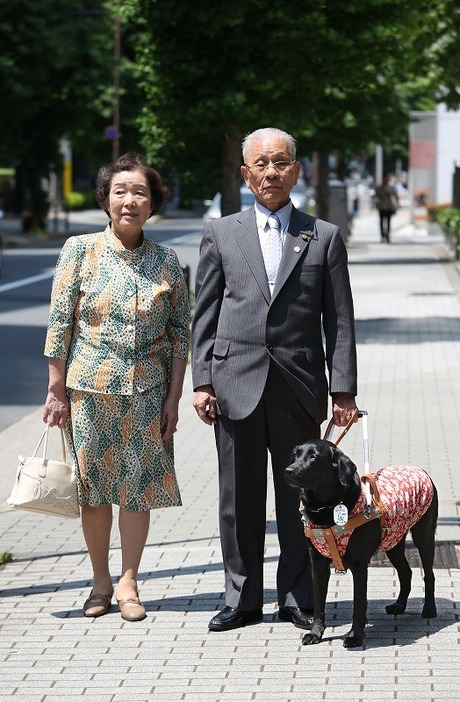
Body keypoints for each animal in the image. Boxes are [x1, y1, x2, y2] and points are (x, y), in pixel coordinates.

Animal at [284, 440, 438, 648]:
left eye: (313, 457)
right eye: (295, 455)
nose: (288, 470)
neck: (328, 507)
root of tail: (420, 469)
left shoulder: (358, 566)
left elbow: (359, 604)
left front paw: (355, 636)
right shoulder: (318, 564)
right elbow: (318, 605)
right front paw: (315, 634)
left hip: (424, 535)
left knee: (428, 574)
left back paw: (429, 608)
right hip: (393, 540)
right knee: (406, 572)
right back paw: (399, 605)